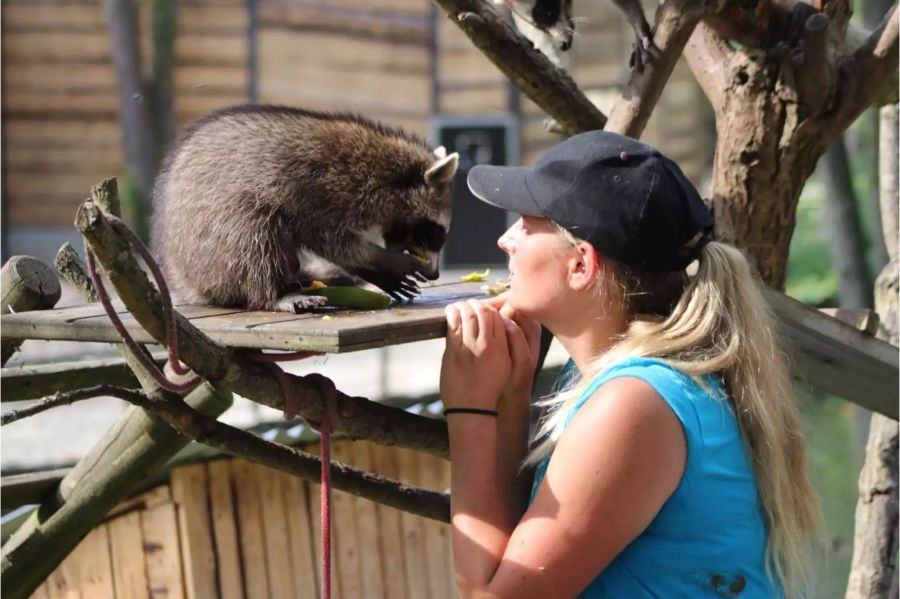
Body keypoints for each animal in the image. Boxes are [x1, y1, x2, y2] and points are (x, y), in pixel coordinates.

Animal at [153, 105, 458, 312]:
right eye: (435, 232)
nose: (435, 274)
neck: (388, 176)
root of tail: (183, 278)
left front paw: (373, 269)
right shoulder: (323, 190)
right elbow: (334, 242)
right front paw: (383, 259)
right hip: (216, 235)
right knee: (255, 238)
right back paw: (274, 294)